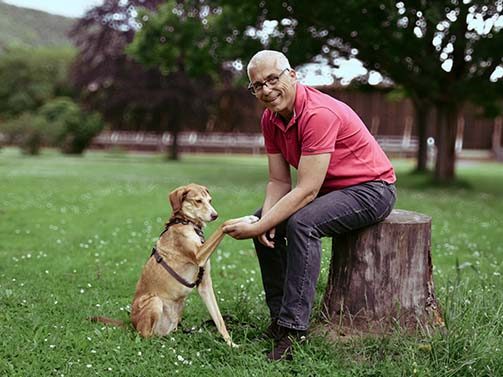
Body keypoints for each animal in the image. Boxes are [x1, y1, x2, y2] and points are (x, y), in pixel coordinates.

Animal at [130, 184, 258, 346]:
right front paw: (247, 219)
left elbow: (219, 319)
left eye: (210, 200)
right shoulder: (199, 255)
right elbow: (224, 224)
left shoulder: (205, 284)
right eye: (198, 201)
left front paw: (230, 344)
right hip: (154, 302)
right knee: (146, 336)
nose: (215, 215)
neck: (186, 222)